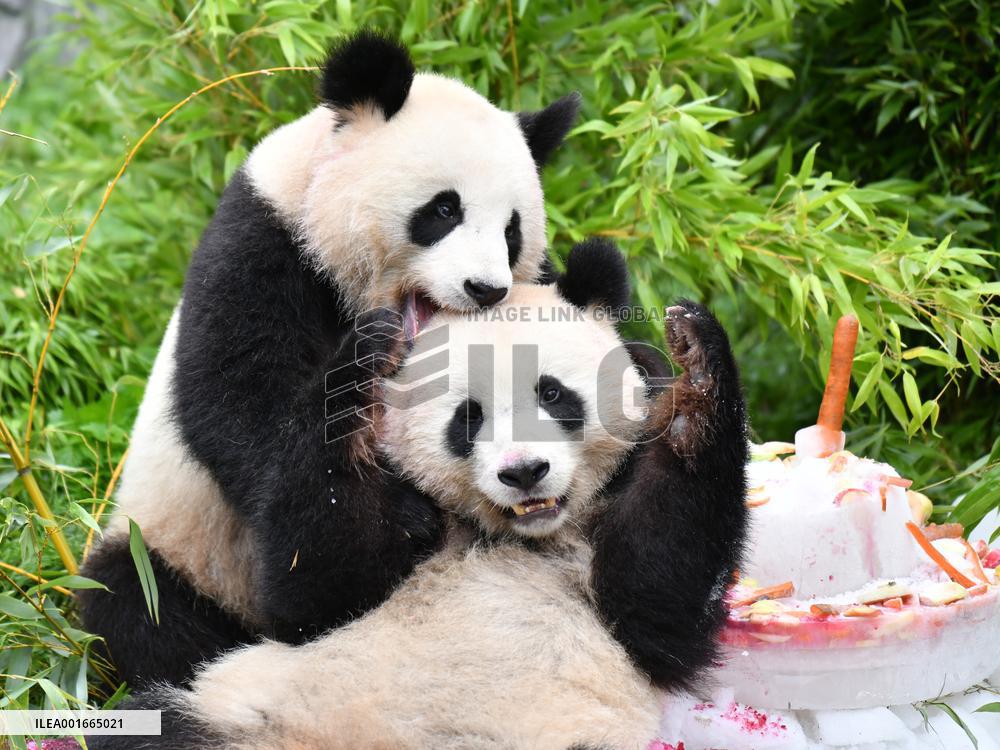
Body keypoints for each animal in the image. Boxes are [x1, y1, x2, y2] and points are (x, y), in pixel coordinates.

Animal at [78, 29, 582, 687]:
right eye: (444, 210)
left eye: (512, 230)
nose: (486, 289)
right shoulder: (263, 245)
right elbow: (239, 405)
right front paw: (390, 519)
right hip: (176, 543)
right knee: (136, 604)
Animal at [89, 241, 749, 750]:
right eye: (468, 418)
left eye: (553, 394)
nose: (525, 472)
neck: (511, 535)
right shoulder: (386, 535)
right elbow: (315, 591)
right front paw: (360, 368)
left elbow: (656, 592)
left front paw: (696, 369)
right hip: (238, 709)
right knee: (148, 713)